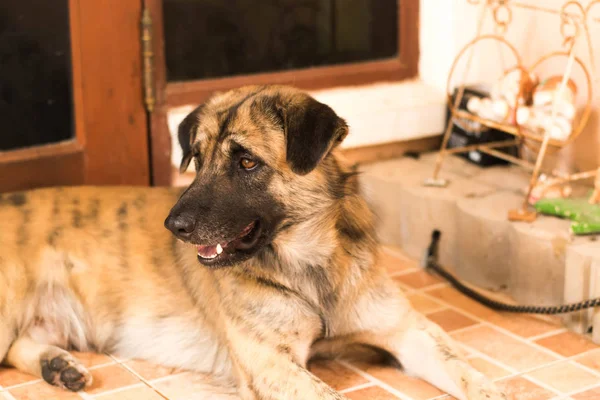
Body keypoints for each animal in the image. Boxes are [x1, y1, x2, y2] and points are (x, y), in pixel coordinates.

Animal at [0, 86, 506, 398]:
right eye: (196, 159)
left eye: (246, 162)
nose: (173, 225)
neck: (312, 266)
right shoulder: (270, 364)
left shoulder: (410, 332)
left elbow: (472, 375)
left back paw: (56, 366)